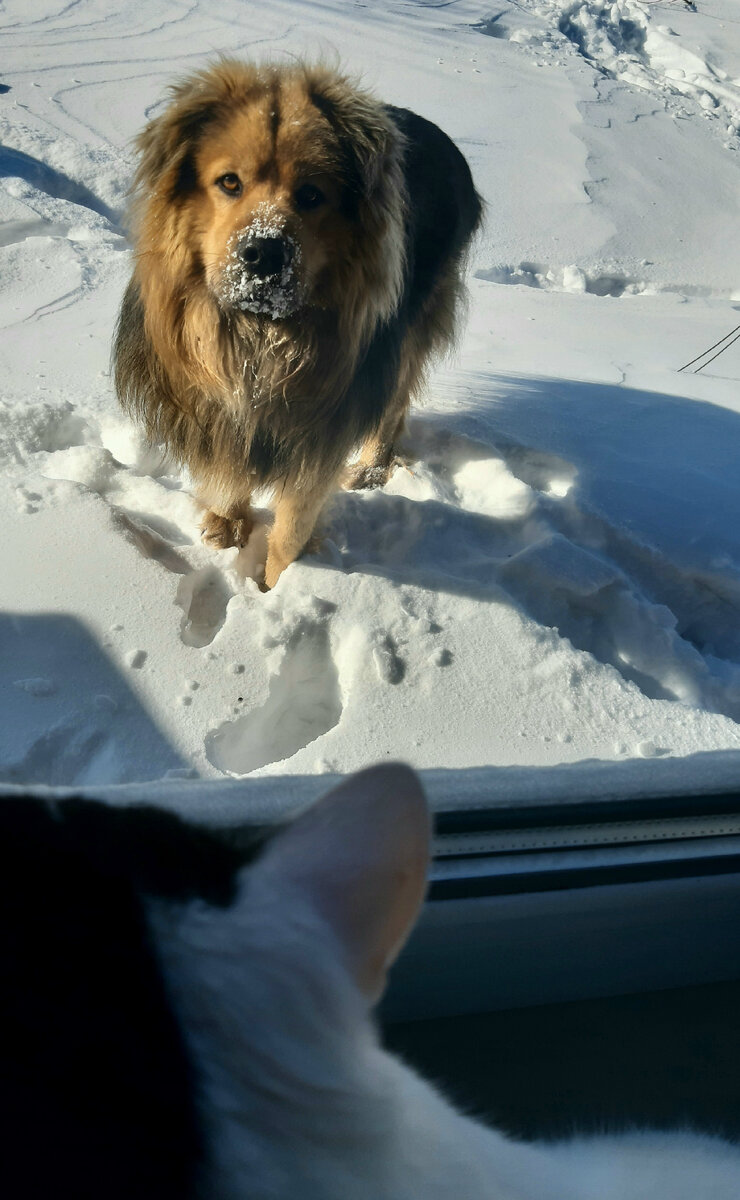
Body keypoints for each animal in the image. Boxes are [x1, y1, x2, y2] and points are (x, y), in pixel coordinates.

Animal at [112, 58, 482, 588]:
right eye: (229, 182)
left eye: (311, 195)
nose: (264, 253)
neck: (261, 336)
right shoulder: (215, 403)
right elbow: (228, 464)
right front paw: (228, 527)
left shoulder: (323, 428)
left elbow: (291, 528)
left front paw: (274, 587)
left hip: (411, 326)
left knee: (392, 404)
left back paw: (371, 470)